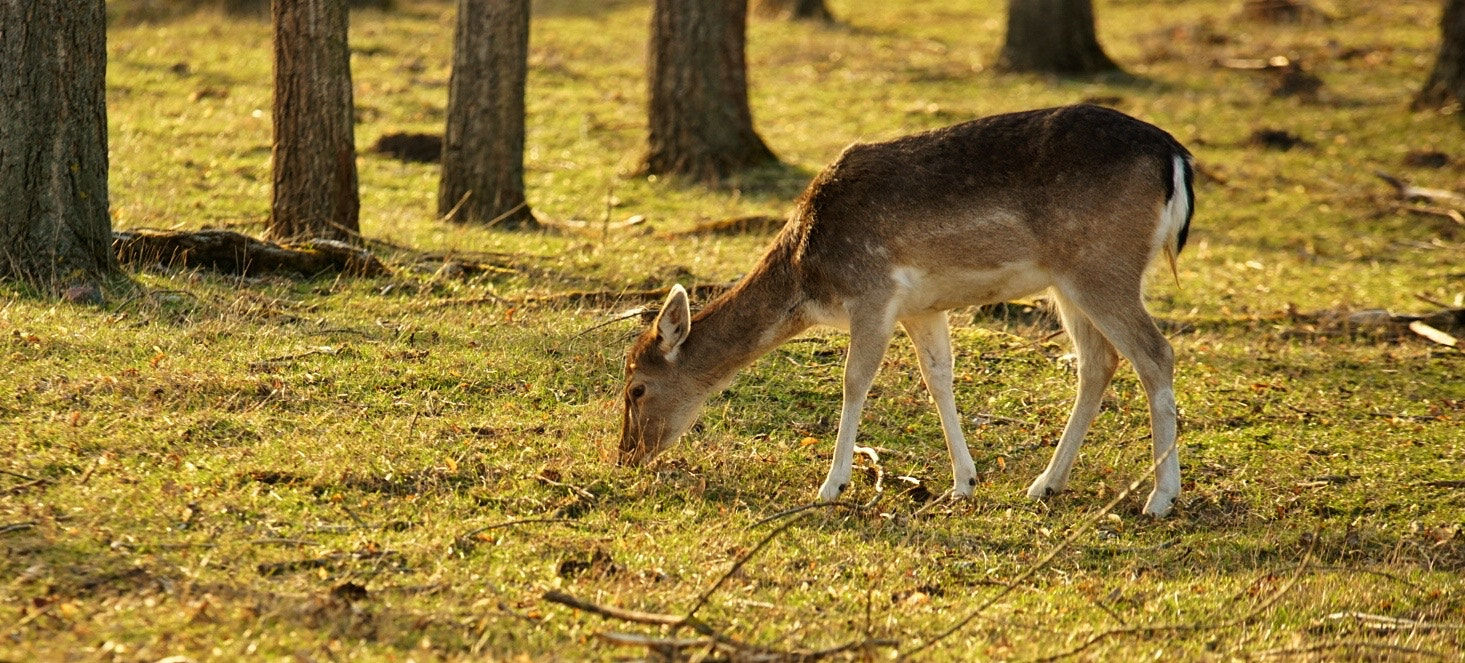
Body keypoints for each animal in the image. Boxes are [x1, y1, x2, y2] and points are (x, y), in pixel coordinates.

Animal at [612, 104, 1195, 518]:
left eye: (636, 388)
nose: (626, 455)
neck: (809, 275)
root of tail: (1175, 156)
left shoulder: (873, 291)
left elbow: (854, 380)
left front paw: (832, 485)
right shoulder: (921, 307)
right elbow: (938, 378)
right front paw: (964, 482)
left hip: (1103, 264)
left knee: (1156, 353)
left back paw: (1161, 498)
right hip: (1068, 282)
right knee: (1099, 363)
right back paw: (1045, 484)